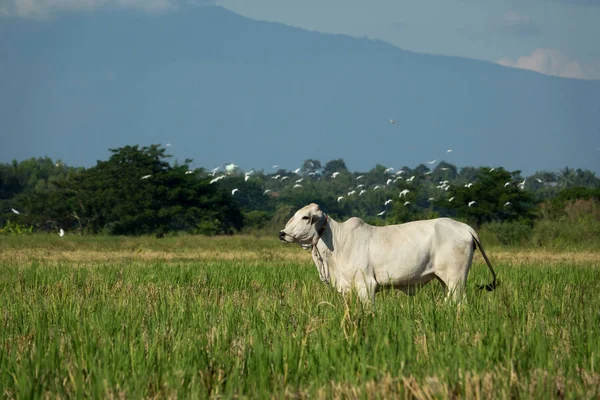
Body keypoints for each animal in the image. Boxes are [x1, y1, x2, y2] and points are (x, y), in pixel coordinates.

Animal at [278, 203, 494, 304]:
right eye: (294, 216)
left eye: (305, 217)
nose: (282, 234)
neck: (338, 242)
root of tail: (464, 227)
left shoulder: (367, 285)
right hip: (444, 280)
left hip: (457, 279)